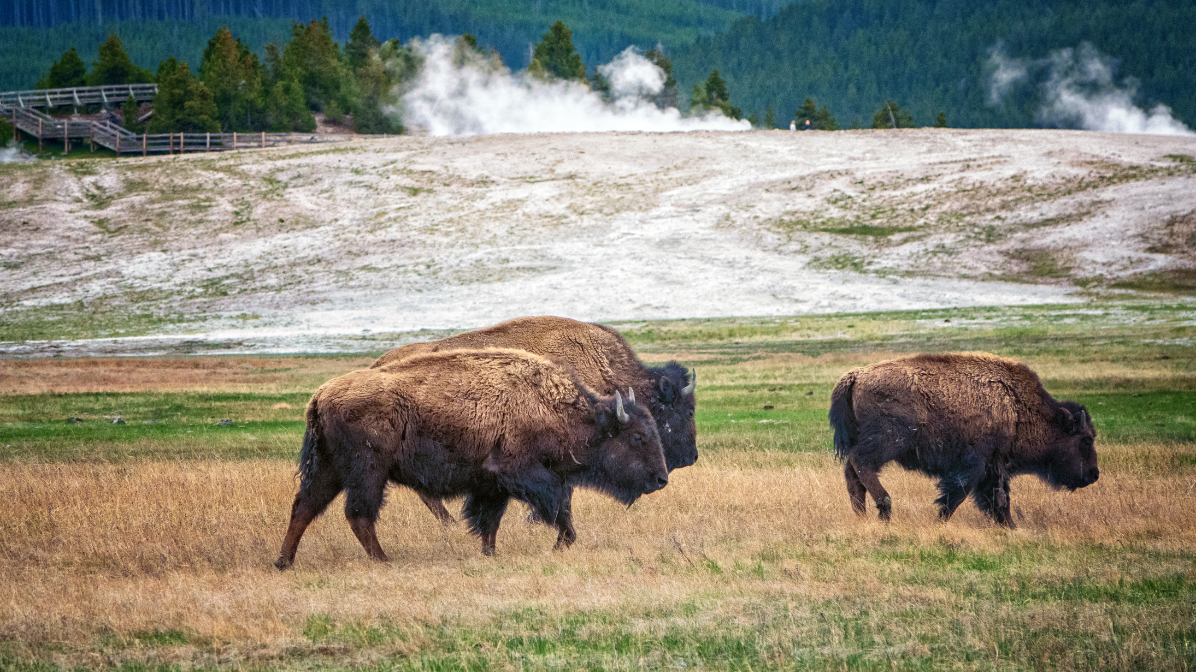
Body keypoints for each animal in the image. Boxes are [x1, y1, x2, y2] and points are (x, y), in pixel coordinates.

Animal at [274, 348, 667, 569]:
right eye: (638, 436)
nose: (662, 478)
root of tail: (320, 396)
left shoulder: (492, 485)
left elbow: (489, 521)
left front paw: (490, 554)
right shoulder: (524, 475)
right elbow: (556, 508)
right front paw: (561, 543)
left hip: (330, 469)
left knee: (305, 507)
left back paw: (283, 562)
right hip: (368, 471)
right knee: (357, 513)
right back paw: (383, 561)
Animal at [829, 352, 1099, 526]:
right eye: (1085, 440)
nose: (1094, 474)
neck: (1016, 407)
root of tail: (856, 375)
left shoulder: (995, 465)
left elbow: (999, 497)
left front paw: (1009, 526)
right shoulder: (976, 464)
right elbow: (960, 494)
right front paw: (940, 521)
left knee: (853, 473)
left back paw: (861, 515)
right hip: (887, 441)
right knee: (862, 465)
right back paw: (885, 509)